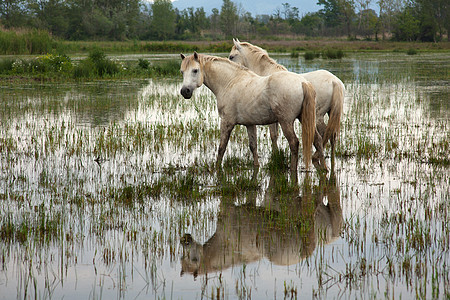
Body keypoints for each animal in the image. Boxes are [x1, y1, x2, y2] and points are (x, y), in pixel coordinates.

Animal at [181, 52, 318, 177]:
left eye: (195, 70)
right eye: (182, 72)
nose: (184, 91)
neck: (230, 82)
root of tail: (303, 82)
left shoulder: (227, 122)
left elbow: (221, 148)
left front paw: (217, 169)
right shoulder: (250, 124)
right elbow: (253, 146)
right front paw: (256, 166)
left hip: (286, 122)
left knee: (294, 143)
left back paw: (293, 170)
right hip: (305, 120)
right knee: (318, 140)